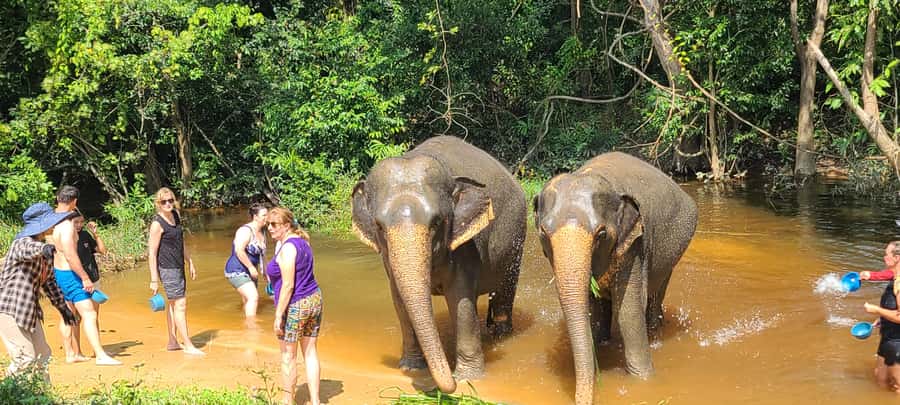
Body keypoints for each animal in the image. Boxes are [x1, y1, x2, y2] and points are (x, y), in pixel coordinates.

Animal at [351, 135, 526, 393]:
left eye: (436, 222)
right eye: (379, 226)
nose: (446, 385)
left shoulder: (465, 247)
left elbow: (460, 300)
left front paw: (468, 378)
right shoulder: (388, 259)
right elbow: (400, 300)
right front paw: (411, 368)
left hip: (516, 241)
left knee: (504, 291)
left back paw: (500, 336)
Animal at [533, 152, 697, 405]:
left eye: (601, 234)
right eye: (543, 233)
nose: (583, 400)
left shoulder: (635, 245)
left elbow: (629, 311)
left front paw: (644, 380)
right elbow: (591, 308)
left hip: (671, 253)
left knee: (655, 295)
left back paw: (654, 333)